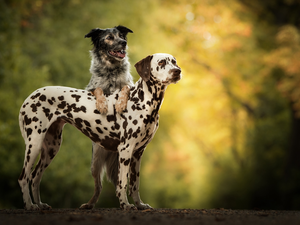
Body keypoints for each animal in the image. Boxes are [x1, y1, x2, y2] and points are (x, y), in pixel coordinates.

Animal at [18, 53, 180, 210]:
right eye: (161, 63)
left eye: (174, 62)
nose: (177, 71)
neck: (142, 101)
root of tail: (30, 97)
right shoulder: (125, 150)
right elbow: (122, 183)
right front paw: (125, 205)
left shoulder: (138, 154)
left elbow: (135, 184)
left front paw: (140, 205)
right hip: (34, 145)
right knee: (24, 178)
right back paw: (29, 205)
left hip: (52, 149)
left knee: (35, 177)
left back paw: (40, 204)